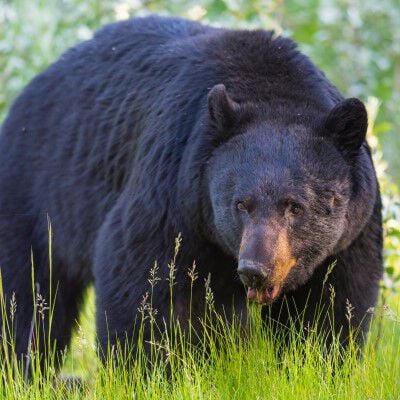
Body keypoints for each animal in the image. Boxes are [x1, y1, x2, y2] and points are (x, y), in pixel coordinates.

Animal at [0, 16, 382, 366]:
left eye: (295, 206)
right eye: (240, 204)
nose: (255, 268)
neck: (273, 92)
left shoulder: (351, 235)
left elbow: (330, 309)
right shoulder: (174, 192)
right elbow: (142, 287)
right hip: (35, 198)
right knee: (27, 296)